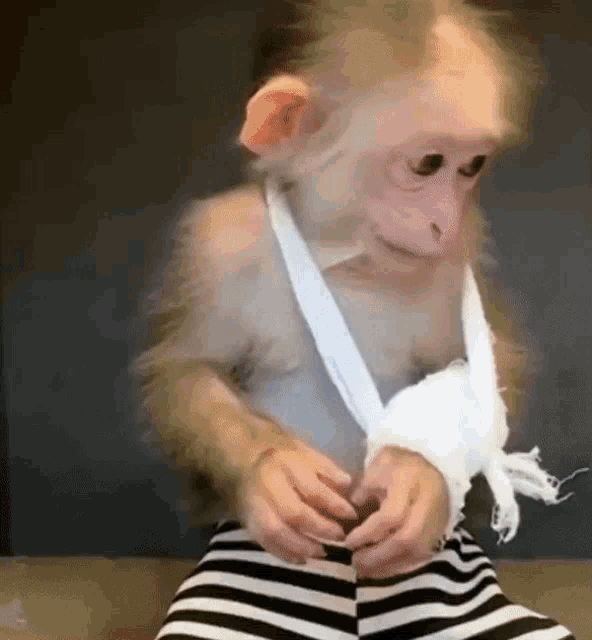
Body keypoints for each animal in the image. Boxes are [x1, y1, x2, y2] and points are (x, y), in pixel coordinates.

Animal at [131, 1, 584, 638]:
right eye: (427, 164)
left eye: (471, 168)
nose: (444, 221)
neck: (340, 253)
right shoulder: (214, 249)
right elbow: (188, 370)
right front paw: (268, 469)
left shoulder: (455, 261)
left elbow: (486, 364)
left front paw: (420, 478)